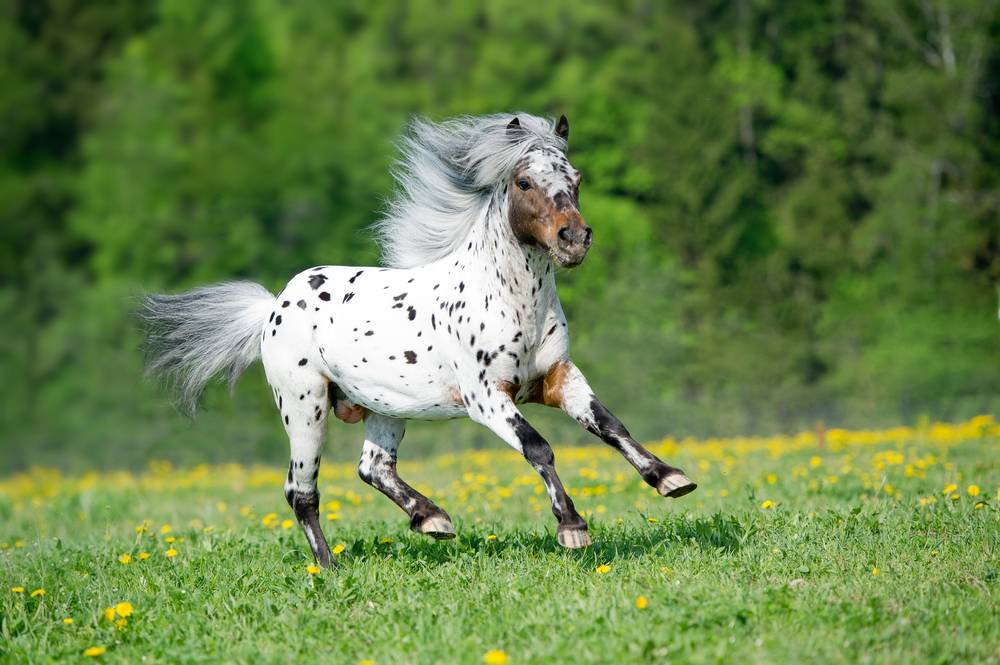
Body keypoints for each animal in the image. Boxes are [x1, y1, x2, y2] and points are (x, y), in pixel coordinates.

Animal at [143, 113, 696, 564]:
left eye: (575, 179)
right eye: (524, 181)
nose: (574, 239)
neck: (509, 300)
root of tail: (273, 307)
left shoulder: (559, 378)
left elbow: (610, 425)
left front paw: (670, 478)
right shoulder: (487, 398)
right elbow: (539, 447)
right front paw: (572, 527)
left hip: (386, 407)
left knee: (372, 468)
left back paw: (433, 519)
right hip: (304, 407)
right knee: (301, 491)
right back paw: (330, 567)